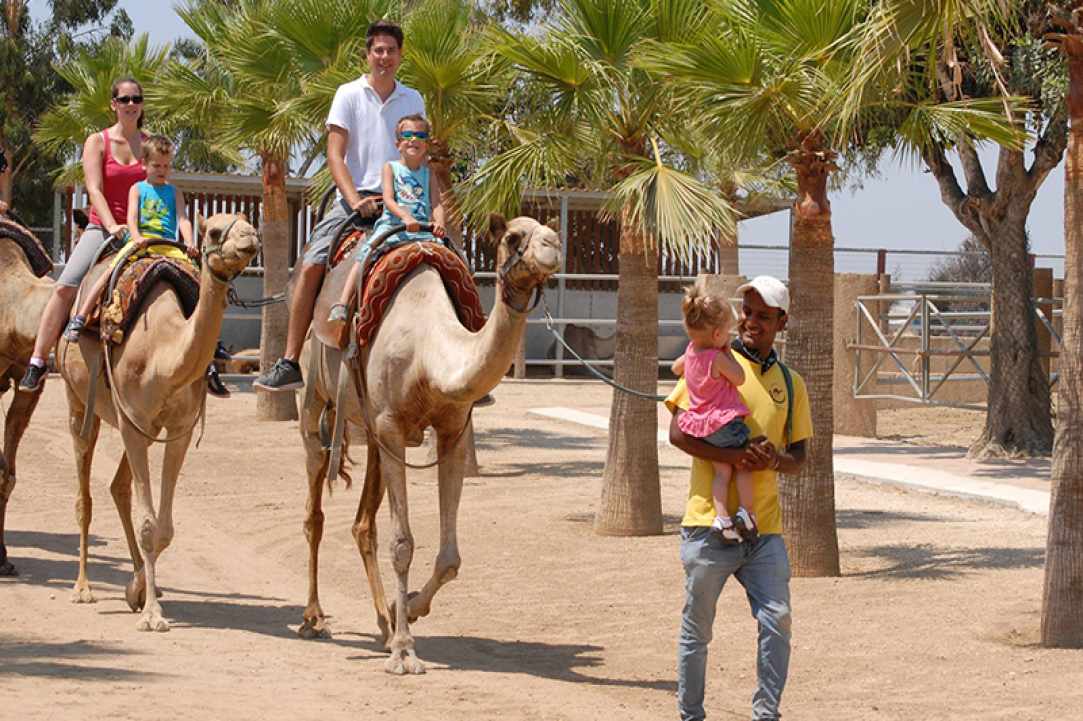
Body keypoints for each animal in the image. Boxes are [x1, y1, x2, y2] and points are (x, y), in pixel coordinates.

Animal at [60, 213, 259, 632]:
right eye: (214, 231)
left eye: (251, 223)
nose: (250, 239)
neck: (162, 352)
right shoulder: (133, 421)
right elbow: (150, 525)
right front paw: (152, 614)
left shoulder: (176, 428)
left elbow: (163, 527)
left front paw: (139, 591)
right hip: (79, 400)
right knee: (84, 493)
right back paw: (82, 587)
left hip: (142, 428)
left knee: (118, 486)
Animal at [297, 213, 561, 674]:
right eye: (514, 237)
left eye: (549, 230)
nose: (553, 246)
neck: (428, 353)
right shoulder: (390, 426)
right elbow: (402, 543)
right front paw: (405, 651)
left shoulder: (449, 429)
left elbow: (450, 557)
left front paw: (409, 610)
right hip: (318, 396)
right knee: (316, 502)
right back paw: (315, 617)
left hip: (370, 429)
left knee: (362, 525)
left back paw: (383, 624)